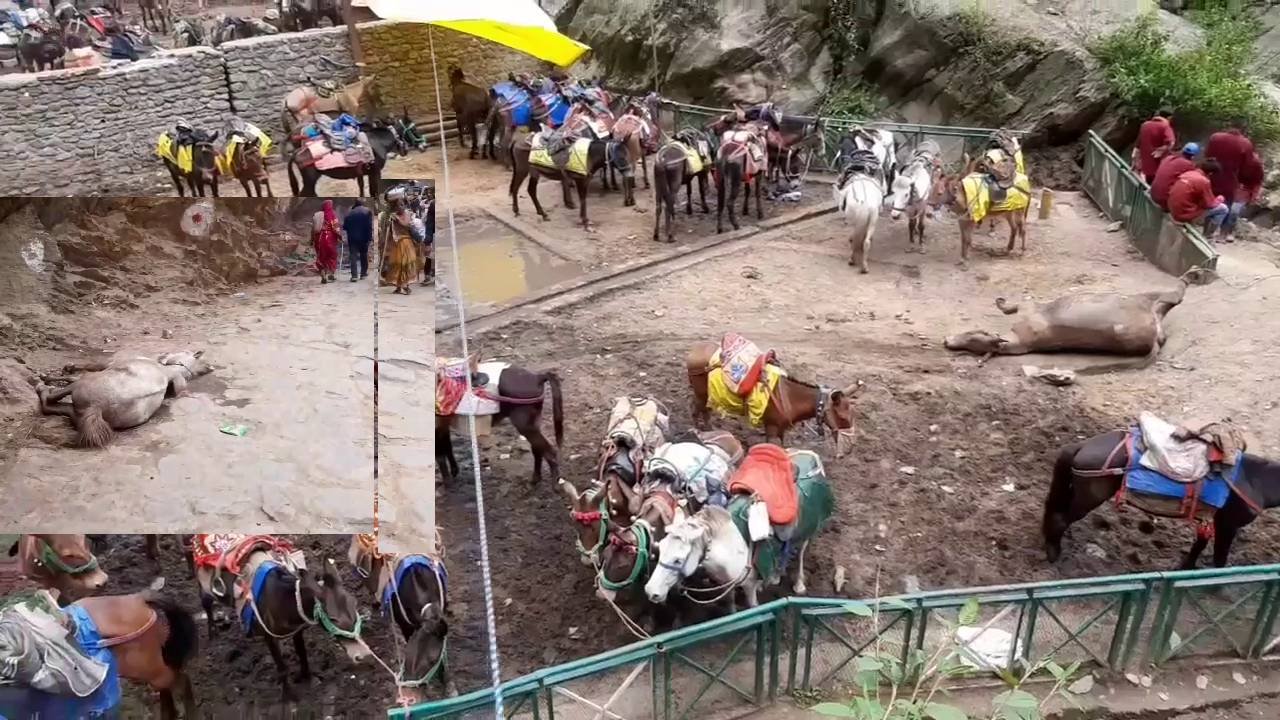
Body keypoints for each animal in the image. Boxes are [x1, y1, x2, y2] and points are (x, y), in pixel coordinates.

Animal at [1039, 427, 1280, 568]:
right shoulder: (1228, 524)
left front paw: (1185, 568)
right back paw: (1053, 554)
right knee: (1060, 519)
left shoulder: (1210, 519)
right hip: (1088, 498)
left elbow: (1199, 544)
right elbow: (1219, 558)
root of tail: (1081, 445)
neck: (1253, 479)